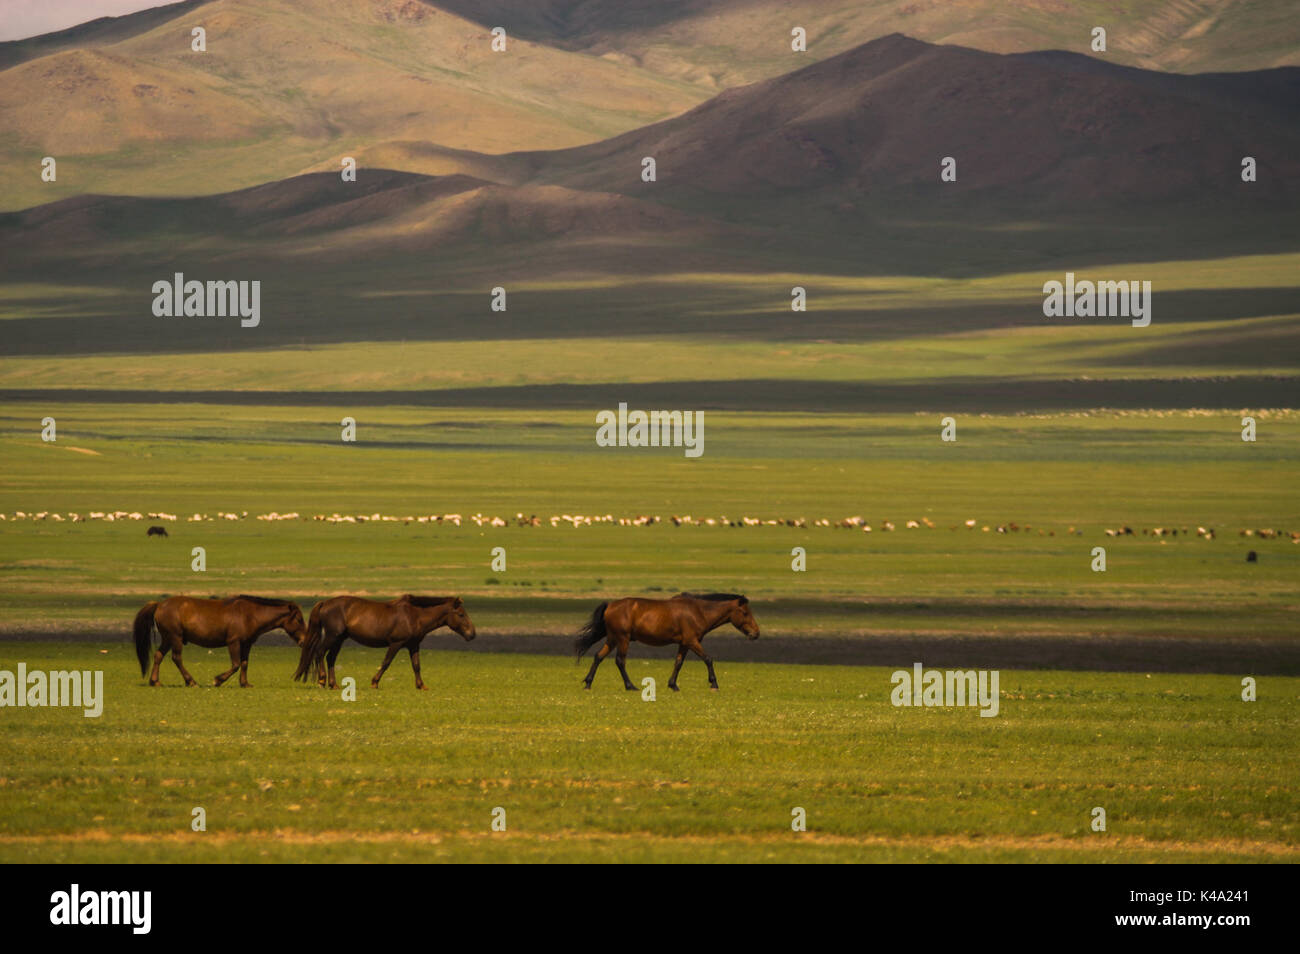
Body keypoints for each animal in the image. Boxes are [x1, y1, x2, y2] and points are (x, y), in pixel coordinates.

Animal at [133, 595, 308, 687]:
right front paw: (218, 680)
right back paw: (191, 681)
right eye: (299, 619)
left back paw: (155, 681)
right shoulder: (233, 642)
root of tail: (159, 605)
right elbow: (236, 664)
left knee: (158, 656)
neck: (251, 615)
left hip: (168, 639)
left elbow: (244, 663)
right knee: (176, 658)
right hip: (175, 637)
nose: (304, 640)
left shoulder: (246, 644)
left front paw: (245, 683)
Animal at [293, 595, 477, 690]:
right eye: (461, 614)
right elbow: (386, 662)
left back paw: (334, 684)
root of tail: (324, 603)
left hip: (339, 639)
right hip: (332, 636)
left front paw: (421, 685)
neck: (414, 615)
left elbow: (416, 666)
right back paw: (322, 681)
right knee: (320, 652)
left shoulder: (413, 645)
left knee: (330, 658)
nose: (472, 634)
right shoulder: (396, 643)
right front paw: (374, 682)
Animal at [574, 592, 760, 691]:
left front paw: (673, 685)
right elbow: (708, 659)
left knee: (598, 657)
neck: (699, 611)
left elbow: (678, 663)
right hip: (622, 639)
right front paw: (714, 683)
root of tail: (610, 606)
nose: (756, 633)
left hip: (612, 639)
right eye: (745, 613)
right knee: (620, 661)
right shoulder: (692, 641)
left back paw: (588, 683)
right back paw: (630, 685)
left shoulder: (684, 644)